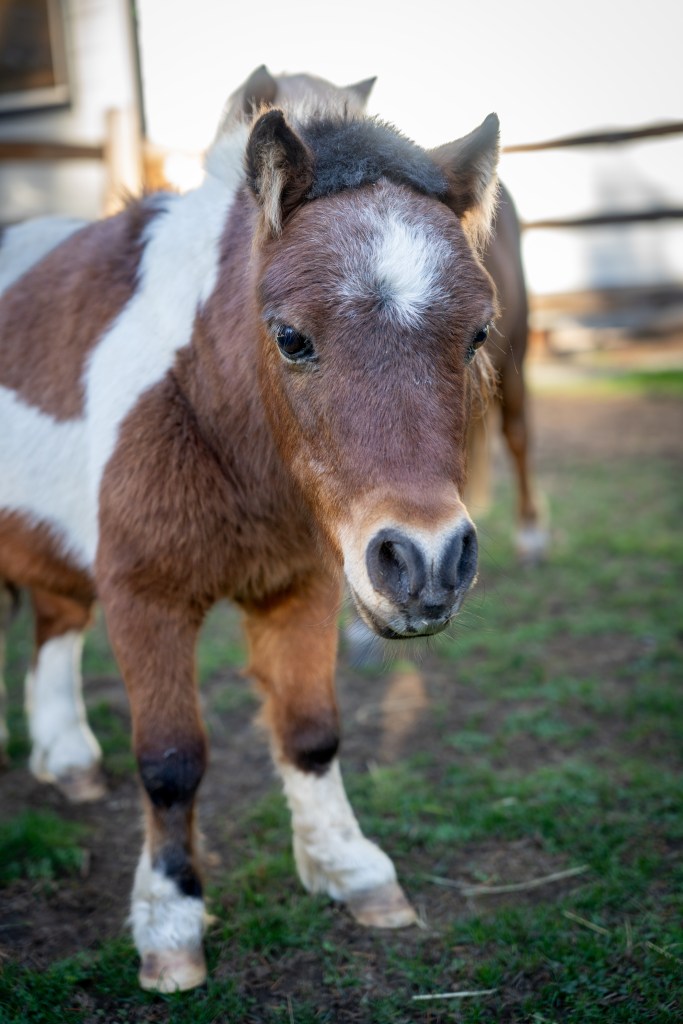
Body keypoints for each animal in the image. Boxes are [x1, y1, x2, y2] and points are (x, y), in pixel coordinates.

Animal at [0, 86, 499, 991]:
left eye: (477, 334)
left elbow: (310, 733)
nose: (426, 564)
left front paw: (350, 869)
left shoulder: (300, 586)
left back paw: (67, 759)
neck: (209, 403)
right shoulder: (146, 596)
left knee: (55, 619)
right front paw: (169, 921)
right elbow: (169, 762)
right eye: (291, 337)